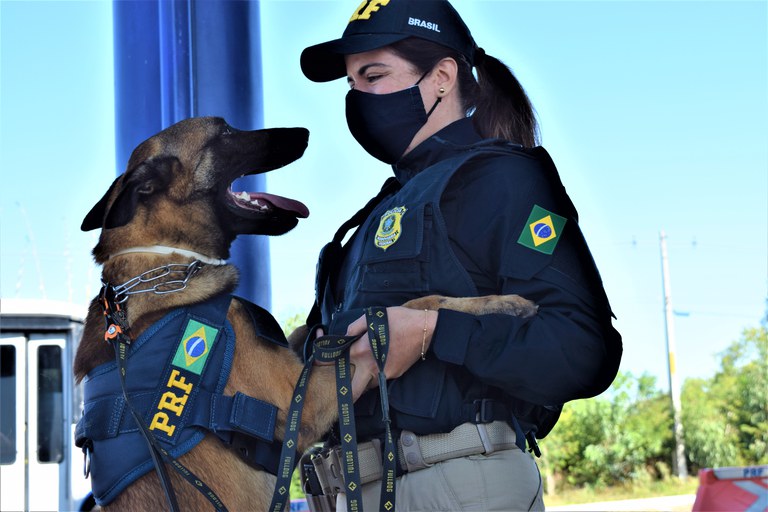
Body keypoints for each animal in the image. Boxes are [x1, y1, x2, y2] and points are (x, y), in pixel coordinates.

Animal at [75, 117, 536, 512]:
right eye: (224, 131)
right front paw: (503, 302)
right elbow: (406, 306)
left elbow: (313, 332)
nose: (304, 132)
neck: (164, 260)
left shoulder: (304, 361)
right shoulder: (309, 399)